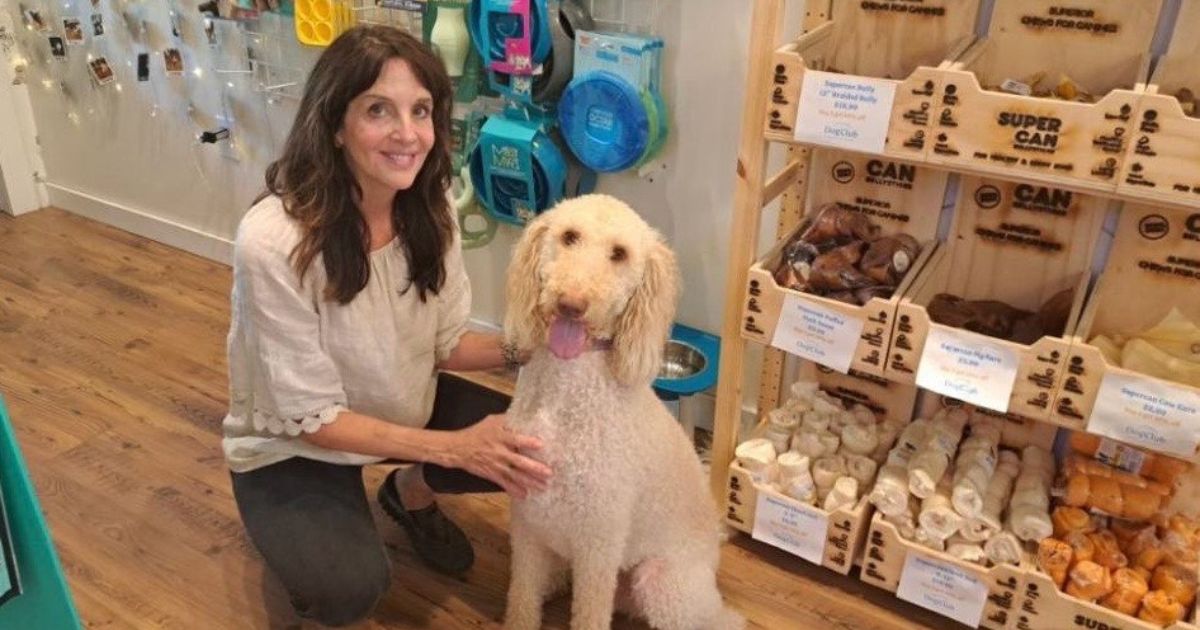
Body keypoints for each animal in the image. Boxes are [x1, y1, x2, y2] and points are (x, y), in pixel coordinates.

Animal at [496, 195, 739, 628]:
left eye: (619, 253)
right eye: (569, 236)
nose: (571, 304)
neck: (565, 394)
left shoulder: (599, 544)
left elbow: (590, 615)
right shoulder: (525, 523)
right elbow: (522, 599)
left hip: (663, 585)